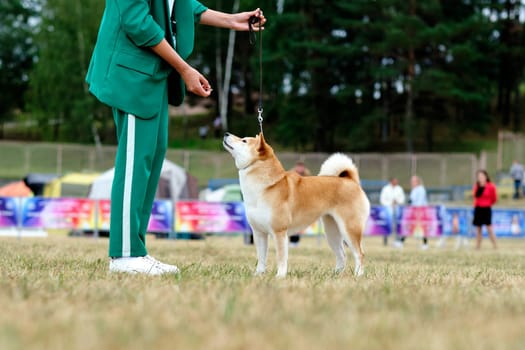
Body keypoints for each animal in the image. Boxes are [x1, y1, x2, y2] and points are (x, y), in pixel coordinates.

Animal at [223, 133, 370, 278]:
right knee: (342, 255)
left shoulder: (279, 232)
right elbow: (261, 258)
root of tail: (350, 180)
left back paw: (358, 275)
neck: (266, 187)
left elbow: (281, 258)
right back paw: (335, 275)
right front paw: (258, 275)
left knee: (360, 254)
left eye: (244, 141)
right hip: (331, 231)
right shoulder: (259, 232)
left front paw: (280, 276)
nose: (226, 134)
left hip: (349, 228)